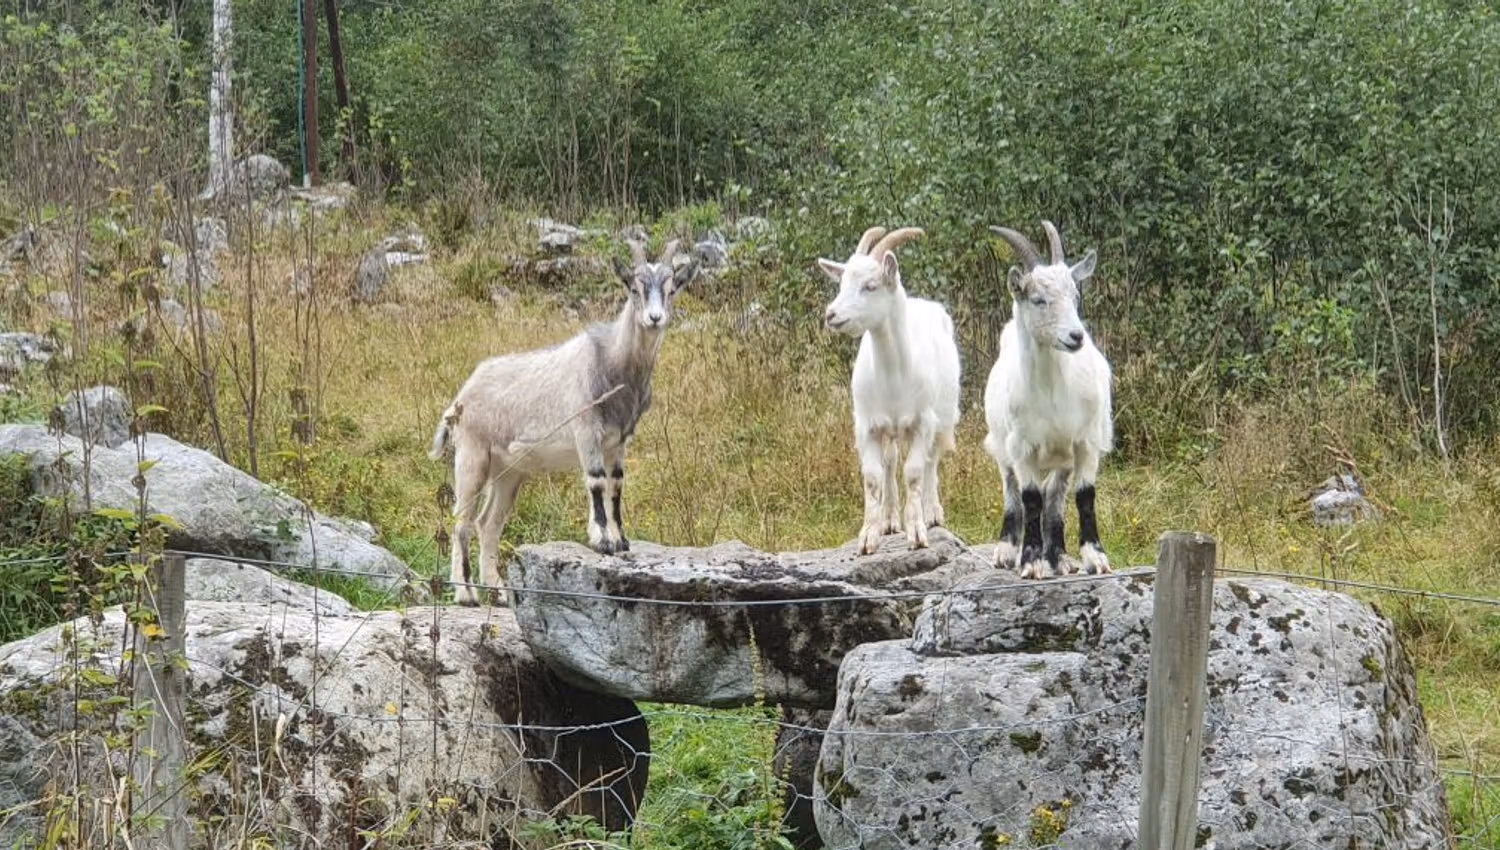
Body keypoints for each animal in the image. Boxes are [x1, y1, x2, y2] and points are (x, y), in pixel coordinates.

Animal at [429, 239, 699, 604]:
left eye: (672, 290)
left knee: (489, 524)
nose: (655, 318)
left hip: (508, 471)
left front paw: (621, 540)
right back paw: (466, 594)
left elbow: (616, 484)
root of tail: (461, 397)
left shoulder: (618, 441)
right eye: (634, 288)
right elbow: (597, 482)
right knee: (462, 520)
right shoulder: (586, 430)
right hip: (472, 453)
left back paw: (498, 592)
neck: (613, 363)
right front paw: (603, 541)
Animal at [819, 227, 961, 554]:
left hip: (943, 417)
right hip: (890, 429)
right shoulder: (867, 426)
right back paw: (889, 520)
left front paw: (917, 532)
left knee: (931, 461)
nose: (831, 314)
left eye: (870, 286)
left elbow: (915, 473)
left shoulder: (923, 422)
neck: (895, 376)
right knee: (891, 461)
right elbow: (872, 477)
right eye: (842, 283)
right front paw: (868, 537)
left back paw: (931, 512)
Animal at [983, 221, 1113, 579]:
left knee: (1055, 496)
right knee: (1013, 491)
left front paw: (1095, 557)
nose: (1075, 336)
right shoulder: (1022, 446)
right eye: (1039, 299)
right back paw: (1007, 550)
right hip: (1002, 445)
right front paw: (1030, 561)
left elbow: (1085, 495)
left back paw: (1060, 556)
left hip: (1062, 458)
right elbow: (1030, 499)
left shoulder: (1086, 441)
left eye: (1075, 295)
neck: (1054, 393)